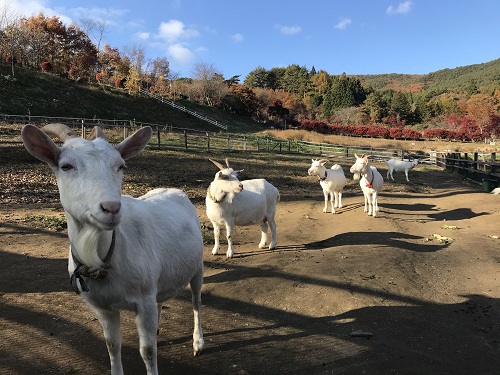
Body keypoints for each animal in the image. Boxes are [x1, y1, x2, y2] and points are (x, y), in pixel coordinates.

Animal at [21, 124, 205, 375]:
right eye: (66, 166)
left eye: (121, 165)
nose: (111, 208)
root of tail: (175, 190)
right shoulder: (104, 308)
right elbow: (112, 345)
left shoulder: (144, 300)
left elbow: (148, 351)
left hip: (198, 266)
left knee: (196, 301)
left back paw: (198, 342)